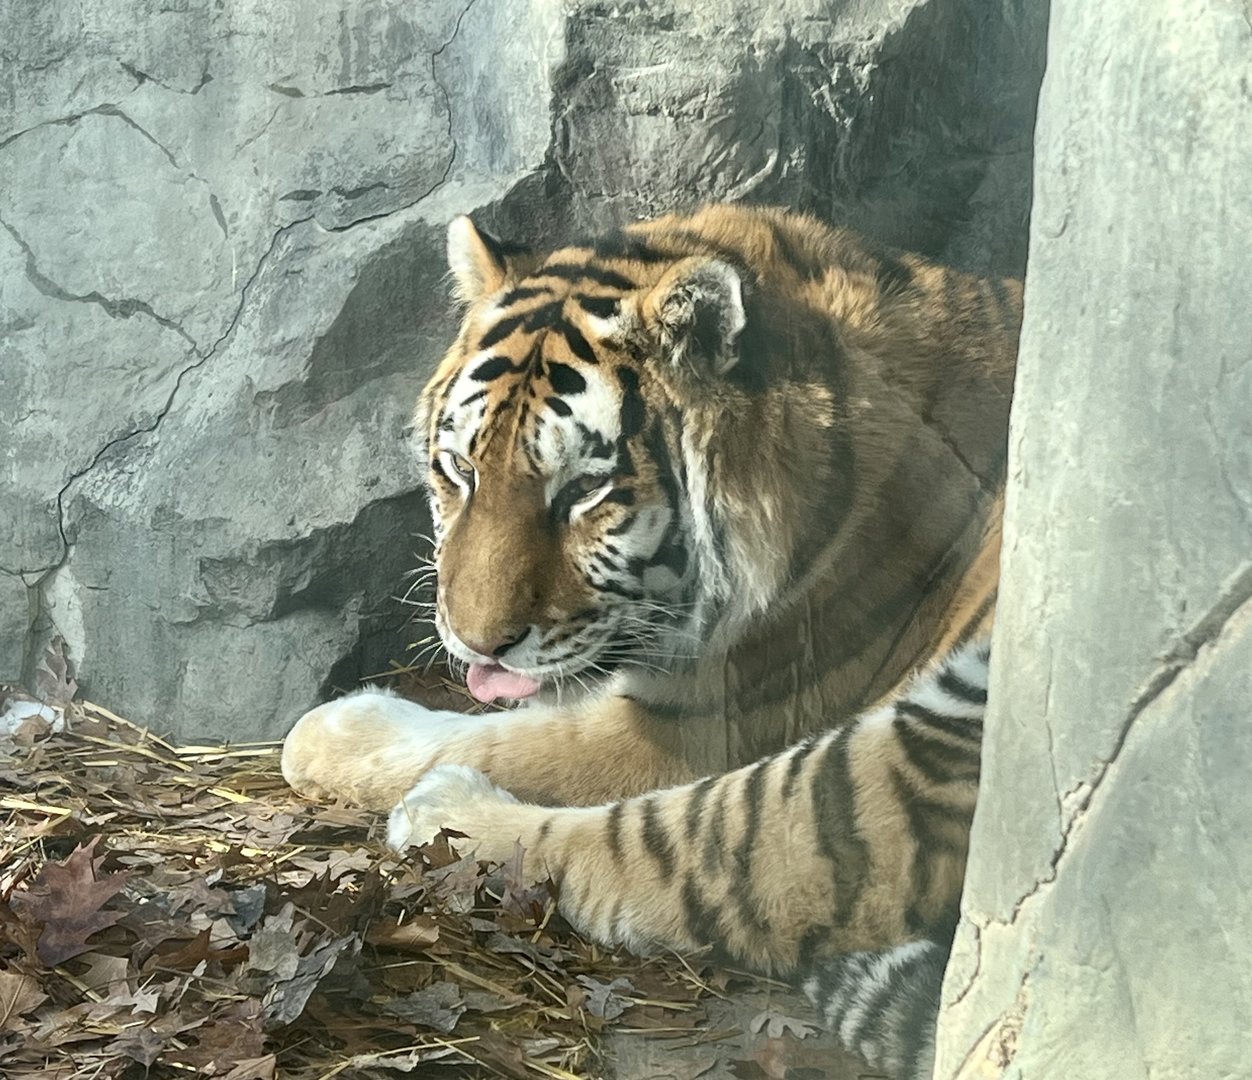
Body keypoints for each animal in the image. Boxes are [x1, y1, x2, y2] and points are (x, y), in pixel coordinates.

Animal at [280, 203, 1021, 1079]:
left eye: (582, 492)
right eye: (459, 469)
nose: (475, 642)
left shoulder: (691, 722)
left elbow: (503, 739)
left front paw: (332, 731)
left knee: (680, 848)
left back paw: (440, 812)